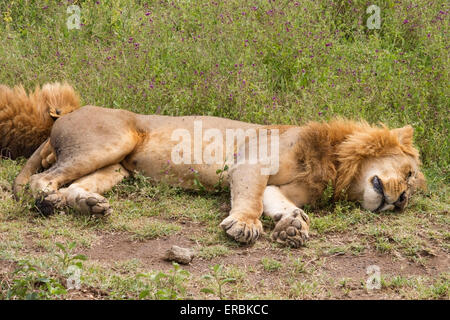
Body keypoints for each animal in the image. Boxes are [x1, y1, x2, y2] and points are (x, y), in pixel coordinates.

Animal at [11, 105, 426, 248]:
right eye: (408, 173)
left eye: (411, 189)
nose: (402, 201)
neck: (337, 167)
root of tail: (64, 114)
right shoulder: (252, 161)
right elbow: (251, 199)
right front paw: (244, 226)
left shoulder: (280, 187)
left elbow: (277, 203)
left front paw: (294, 227)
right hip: (113, 139)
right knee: (41, 180)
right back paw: (48, 202)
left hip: (116, 168)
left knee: (75, 185)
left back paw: (88, 204)